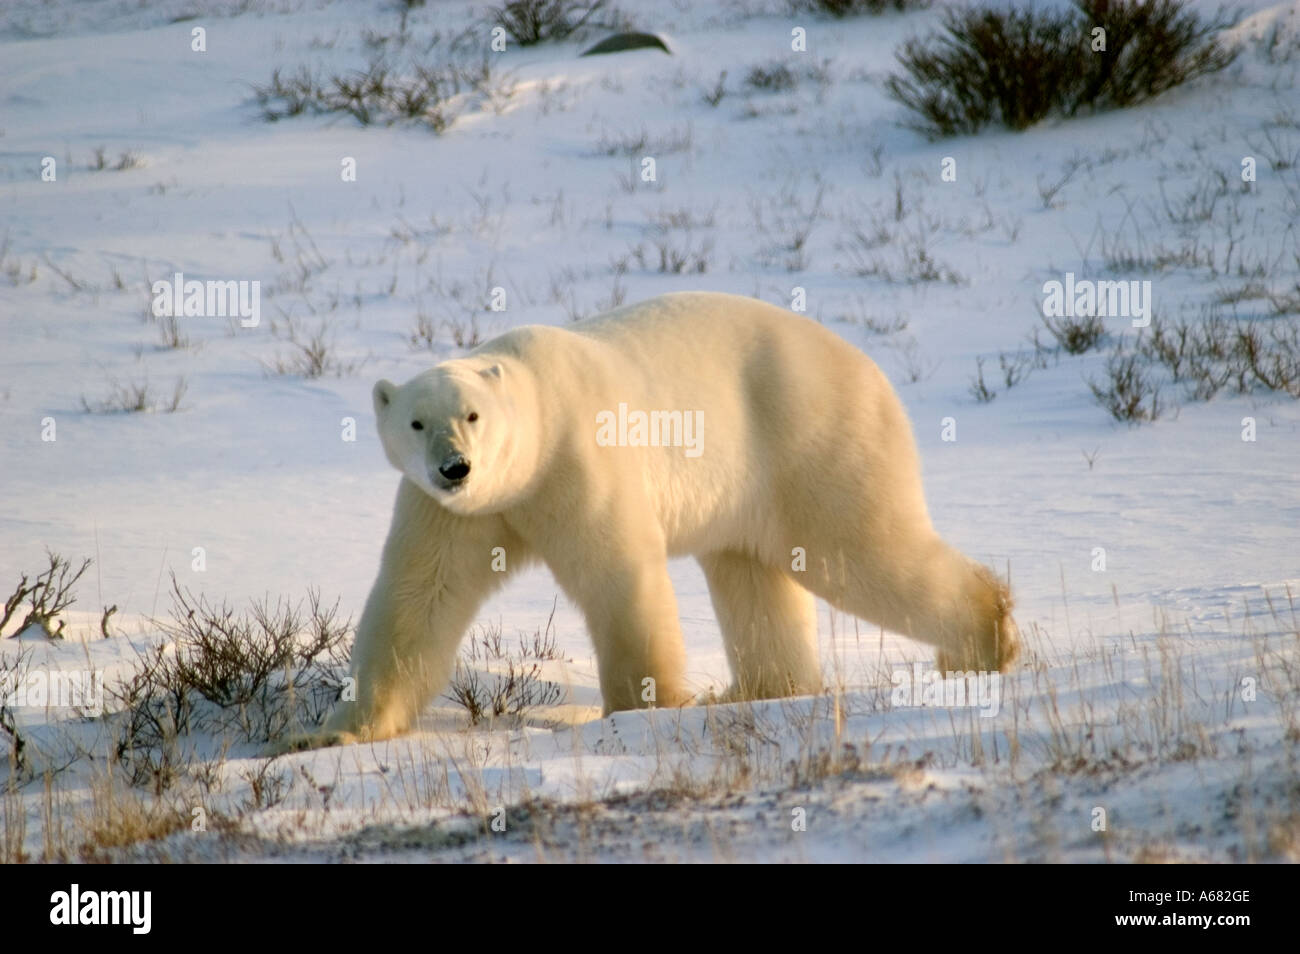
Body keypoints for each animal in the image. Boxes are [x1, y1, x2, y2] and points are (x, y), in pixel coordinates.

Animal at [282, 287, 1013, 748]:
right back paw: (754, 692)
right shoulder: (451, 513)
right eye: (416, 422)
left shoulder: (577, 459)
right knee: (752, 576)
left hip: (811, 437)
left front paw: (643, 709)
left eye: (472, 415)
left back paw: (985, 639)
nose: (454, 467)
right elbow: (418, 598)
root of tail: (870, 369)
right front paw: (331, 732)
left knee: (859, 550)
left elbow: (619, 575)